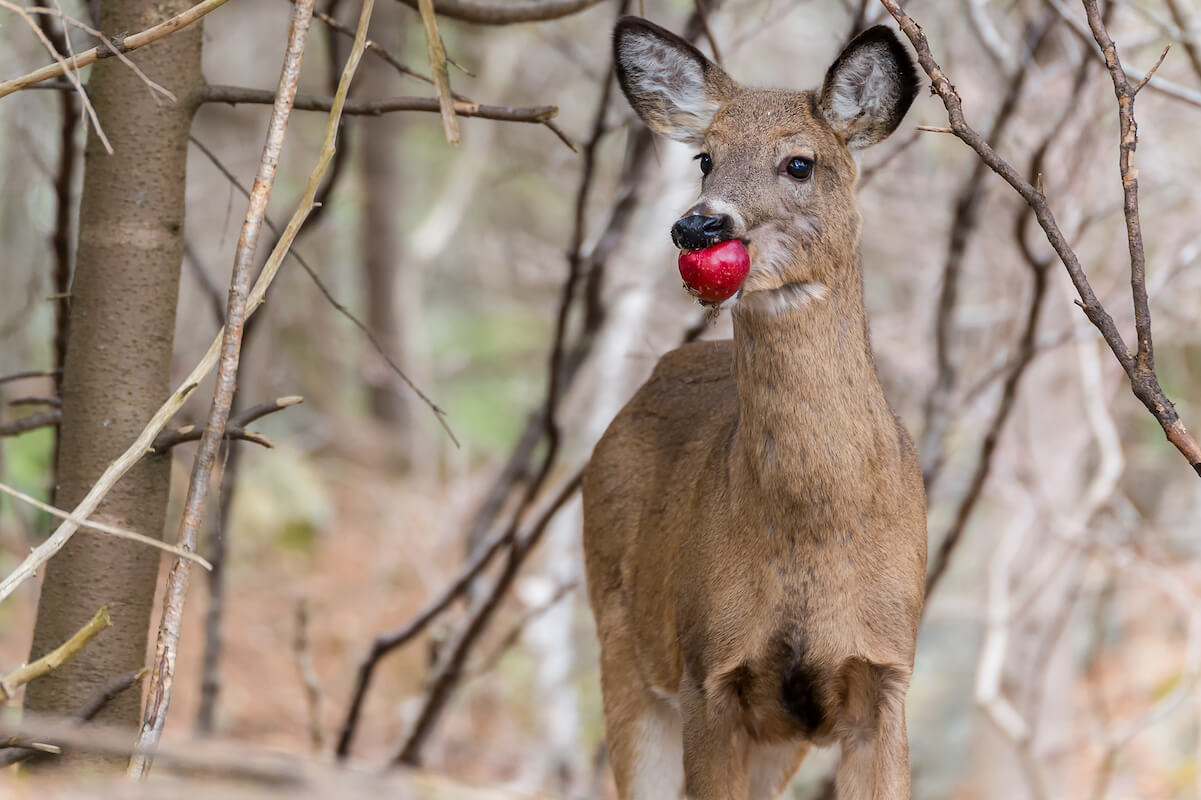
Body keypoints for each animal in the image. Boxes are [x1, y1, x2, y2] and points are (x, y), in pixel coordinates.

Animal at [581, 14, 927, 797]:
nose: (698, 227)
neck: (813, 531)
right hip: (621, 639)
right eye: (705, 158)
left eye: (799, 163)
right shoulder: (708, 667)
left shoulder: (887, 669)